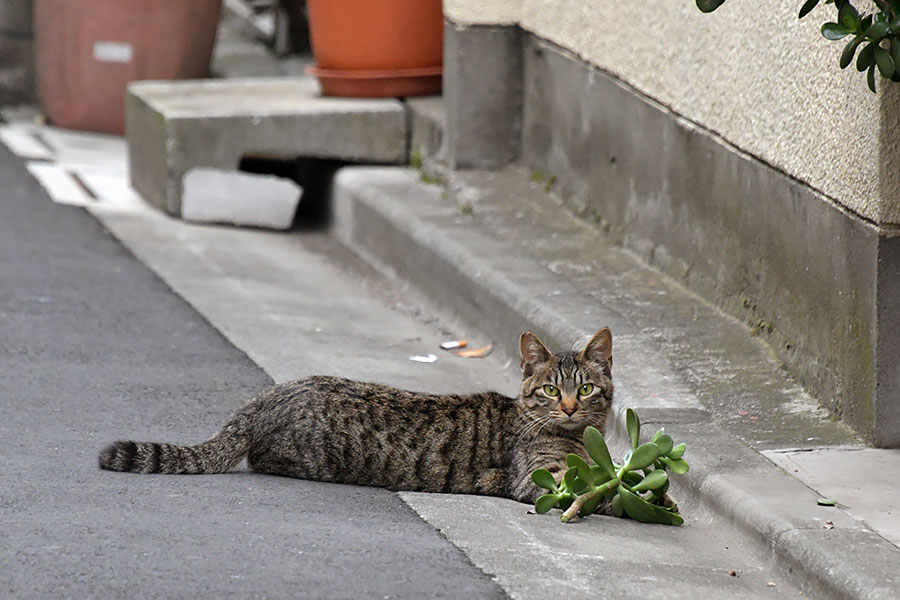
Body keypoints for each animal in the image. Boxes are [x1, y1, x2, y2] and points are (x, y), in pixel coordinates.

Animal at [102, 326, 616, 504]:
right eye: (550, 390)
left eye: (585, 389)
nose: (570, 407)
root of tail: (270, 393)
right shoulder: (540, 479)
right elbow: (589, 492)